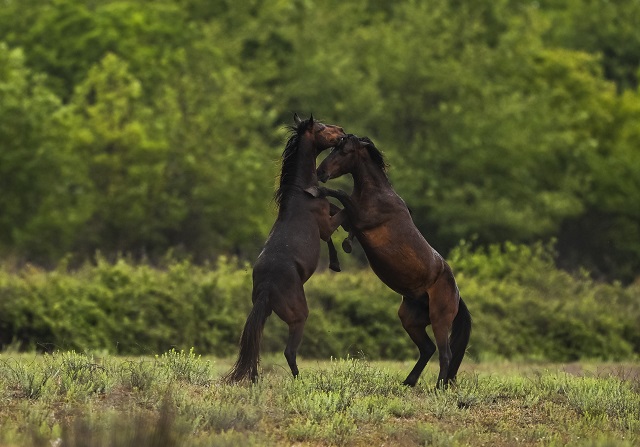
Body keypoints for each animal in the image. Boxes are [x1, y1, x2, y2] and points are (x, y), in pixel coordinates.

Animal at [224, 114, 348, 384]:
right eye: (321, 127)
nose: (343, 131)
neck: (302, 192)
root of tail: (266, 288)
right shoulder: (325, 224)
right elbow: (344, 215)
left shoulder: (326, 221)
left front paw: (335, 262)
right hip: (298, 316)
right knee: (289, 351)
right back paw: (300, 381)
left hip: (265, 313)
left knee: (256, 345)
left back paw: (254, 379)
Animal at [316, 135, 470, 390]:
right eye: (333, 148)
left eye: (344, 151)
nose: (320, 172)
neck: (377, 194)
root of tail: (457, 295)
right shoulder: (351, 220)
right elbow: (340, 210)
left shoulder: (362, 217)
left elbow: (340, 193)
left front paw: (319, 189)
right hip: (410, 319)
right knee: (427, 349)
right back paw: (408, 381)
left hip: (440, 319)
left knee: (444, 353)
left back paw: (438, 387)